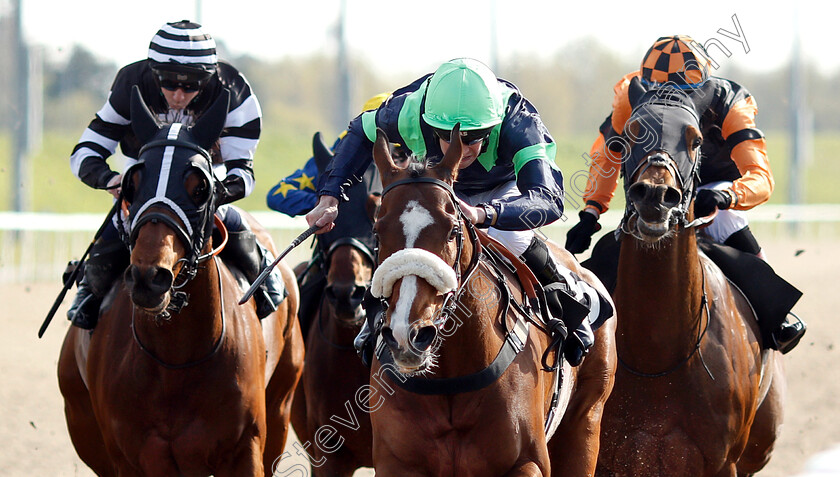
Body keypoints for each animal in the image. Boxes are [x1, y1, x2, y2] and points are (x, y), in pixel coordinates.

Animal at [56, 86, 306, 476]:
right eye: (132, 185)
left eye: (199, 187)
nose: (149, 277)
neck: (176, 359)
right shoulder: (132, 456)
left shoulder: (245, 448)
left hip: (281, 407)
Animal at [364, 127, 612, 476]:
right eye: (377, 232)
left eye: (452, 230)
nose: (407, 335)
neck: (450, 381)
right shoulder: (397, 463)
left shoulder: (526, 462)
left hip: (586, 422)